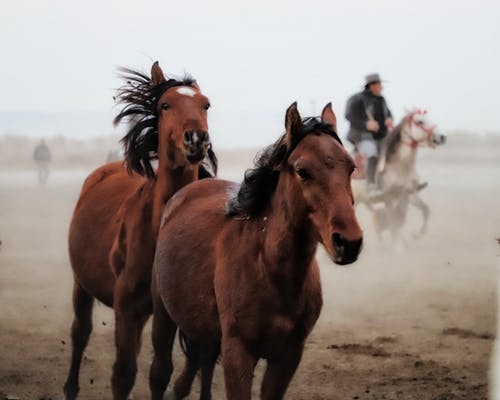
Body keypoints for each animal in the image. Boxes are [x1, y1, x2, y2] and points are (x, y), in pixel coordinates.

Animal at [63, 61, 217, 400]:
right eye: (165, 105)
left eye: (206, 105)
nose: (196, 139)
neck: (159, 227)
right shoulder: (126, 304)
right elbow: (123, 374)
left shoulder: (166, 311)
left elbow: (160, 372)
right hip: (82, 284)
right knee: (80, 333)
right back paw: (70, 387)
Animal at [149, 104, 364, 400]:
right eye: (302, 171)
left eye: (351, 167)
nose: (349, 242)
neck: (268, 268)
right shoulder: (237, 354)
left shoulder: (287, 357)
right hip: (163, 313)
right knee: (160, 373)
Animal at [352, 108, 446, 241]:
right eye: (419, 122)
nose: (442, 137)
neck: (400, 166)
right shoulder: (388, 197)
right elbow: (393, 222)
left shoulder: (407, 195)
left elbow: (424, 211)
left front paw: (416, 235)